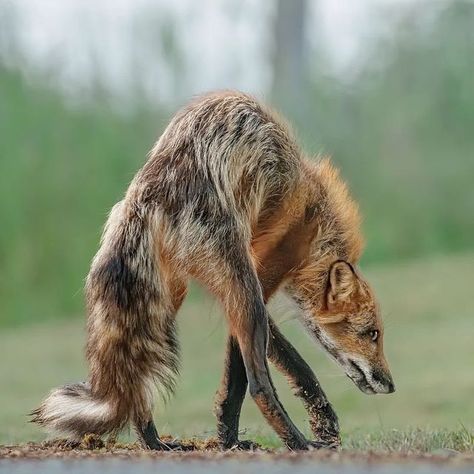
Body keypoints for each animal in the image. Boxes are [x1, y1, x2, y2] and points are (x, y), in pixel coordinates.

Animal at [33, 91, 394, 452]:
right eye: (372, 334)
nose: (390, 384)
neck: (315, 221)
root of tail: (149, 190)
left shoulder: (241, 295)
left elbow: (274, 367)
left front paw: (228, 438)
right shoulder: (263, 278)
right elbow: (257, 374)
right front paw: (309, 427)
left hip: (170, 297)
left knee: (138, 378)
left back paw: (153, 442)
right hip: (241, 290)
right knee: (259, 387)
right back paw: (298, 442)